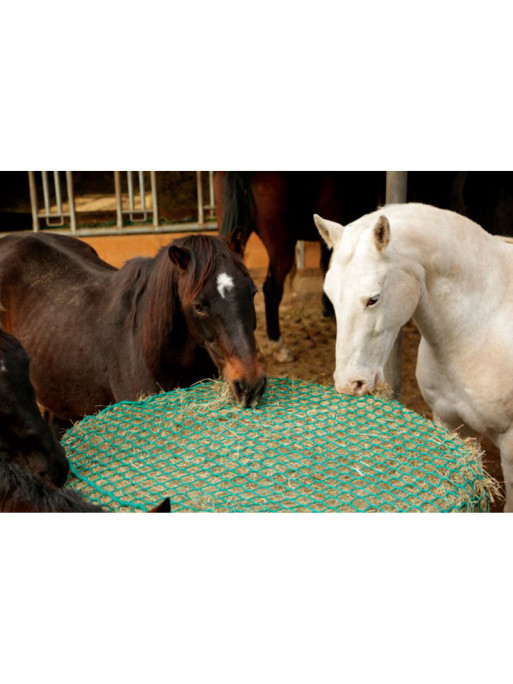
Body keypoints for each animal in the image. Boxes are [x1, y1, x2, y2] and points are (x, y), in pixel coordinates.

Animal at [314, 202, 513, 511]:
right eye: (330, 297)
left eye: (373, 299)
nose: (349, 384)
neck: (481, 325)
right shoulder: (453, 424)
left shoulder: (510, 447)